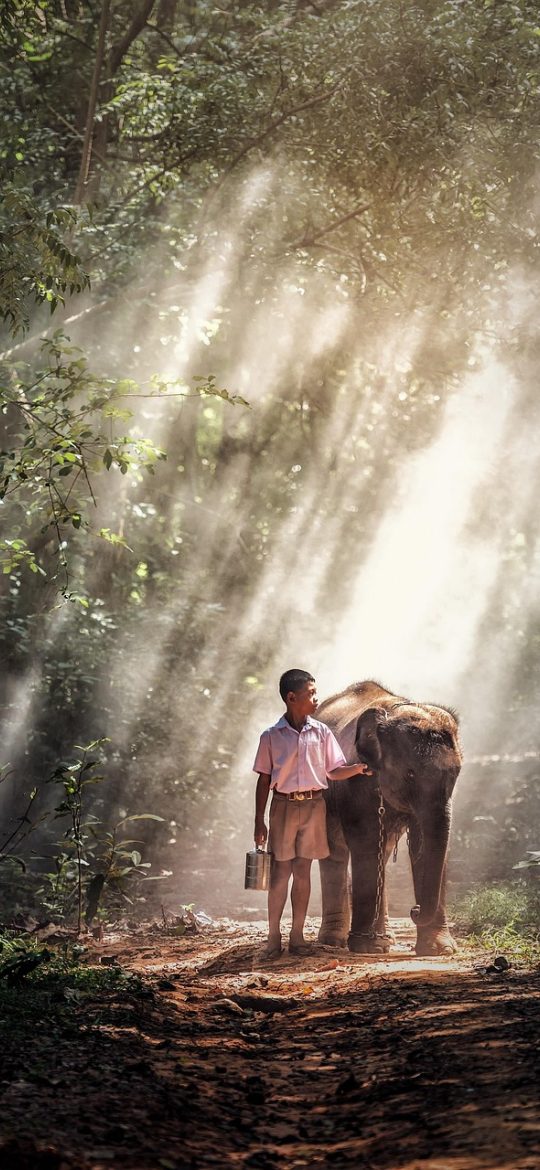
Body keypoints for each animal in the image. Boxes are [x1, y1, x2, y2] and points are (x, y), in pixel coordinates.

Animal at [317, 681, 462, 956]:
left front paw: (440, 950)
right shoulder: (355, 781)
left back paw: (387, 940)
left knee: (382, 854)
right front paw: (366, 947)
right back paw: (334, 941)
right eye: (410, 774)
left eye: (456, 773)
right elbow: (366, 844)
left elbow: (422, 846)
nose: (413, 910)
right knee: (336, 854)